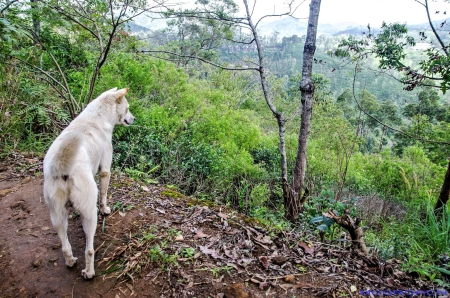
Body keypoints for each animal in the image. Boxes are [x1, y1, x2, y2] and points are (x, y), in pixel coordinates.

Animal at [43, 87, 135, 278]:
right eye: (128, 108)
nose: (134, 119)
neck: (98, 116)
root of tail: (61, 166)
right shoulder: (105, 169)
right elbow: (104, 194)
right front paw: (106, 210)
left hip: (57, 215)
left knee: (65, 245)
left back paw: (70, 261)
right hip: (89, 213)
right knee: (89, 249)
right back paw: (89, 272)